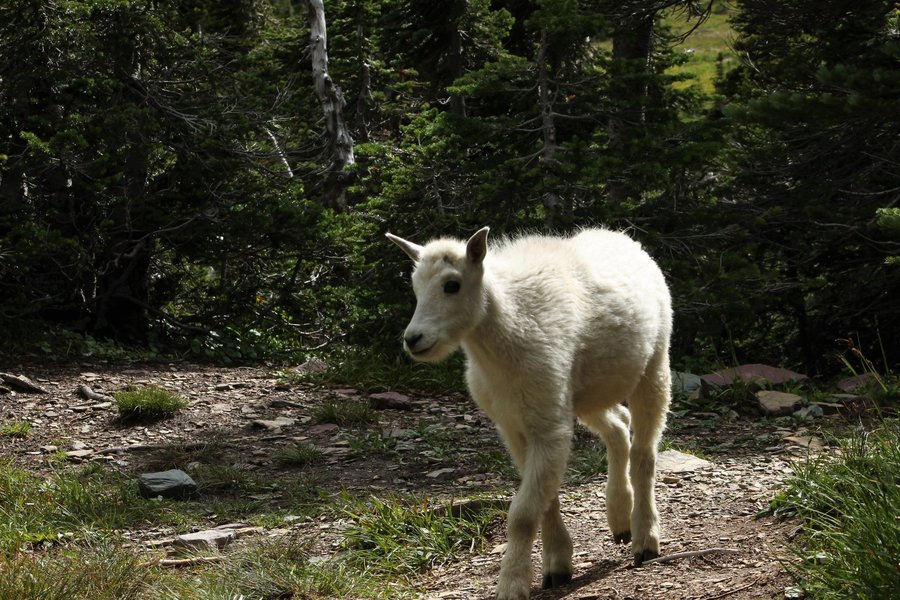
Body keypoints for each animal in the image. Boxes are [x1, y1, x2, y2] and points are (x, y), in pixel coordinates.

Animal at [386, 227, 672, 599]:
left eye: (452, 284)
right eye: (415, 286)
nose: (414, 339)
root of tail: (623, 237)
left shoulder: (547, 425)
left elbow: (522, 515)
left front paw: (512, 584)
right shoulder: (516, 426)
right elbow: (544, 500)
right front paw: (557, 566)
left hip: (654, 367)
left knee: (644, 453)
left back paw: (644, 539)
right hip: (584, 393)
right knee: (619, 427)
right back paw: (619, 518)